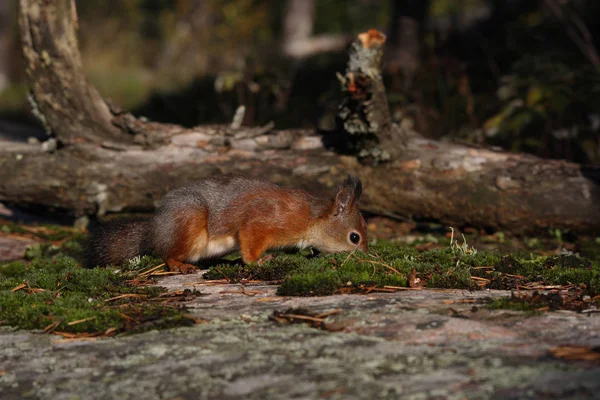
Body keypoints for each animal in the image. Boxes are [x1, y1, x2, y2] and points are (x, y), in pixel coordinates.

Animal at [86, 174, 368, 272]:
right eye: (354, 237)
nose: (366, 256)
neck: (311, 217)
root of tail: (153, 229)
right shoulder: (267, 219)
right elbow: (251, 239)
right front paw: (258, 261)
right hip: (189, 221)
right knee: (167, 253)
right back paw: (179, 265)